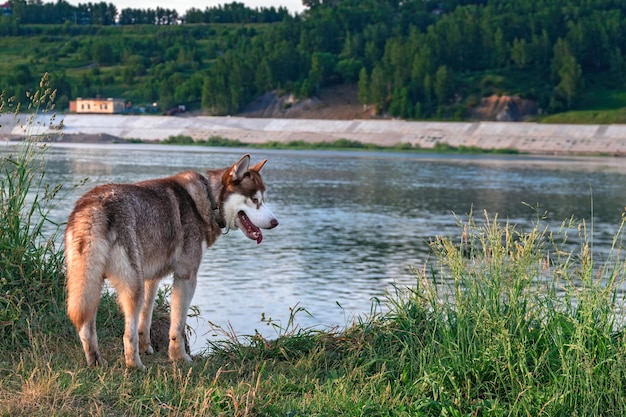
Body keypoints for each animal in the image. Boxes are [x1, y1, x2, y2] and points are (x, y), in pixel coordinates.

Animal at [64, 153, 276, 368]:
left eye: (264, 200)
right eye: (255, 200)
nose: (275, 222)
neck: (208, 199)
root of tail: (93, 205)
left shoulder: (151, 279)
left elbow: (146, 320)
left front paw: (147, 348)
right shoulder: (186, 276)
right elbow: (177, 327)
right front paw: (179, 357)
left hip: (90, 286)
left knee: (86, 328)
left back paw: (96, 362)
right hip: (132, 288)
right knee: (127, 334)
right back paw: (135, 366)